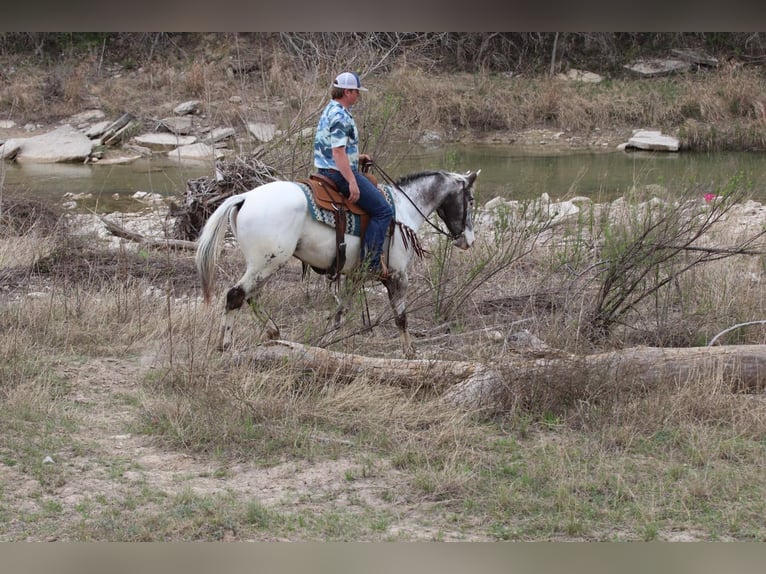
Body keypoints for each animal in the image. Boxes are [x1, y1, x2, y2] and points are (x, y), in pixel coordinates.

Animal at [195, 169, 480, 359]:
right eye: (471, 200)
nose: (469, 240)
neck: (403, 210)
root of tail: (244, 197)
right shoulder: (398, 275)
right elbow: (401, 317)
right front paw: (410, 353)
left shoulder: (355, 276)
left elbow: (340, 314)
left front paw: (325, 345)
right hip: (266, 263)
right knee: (236, 296)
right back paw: (225, 346)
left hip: (261, 265)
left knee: (251, 297)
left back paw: (274, 333)